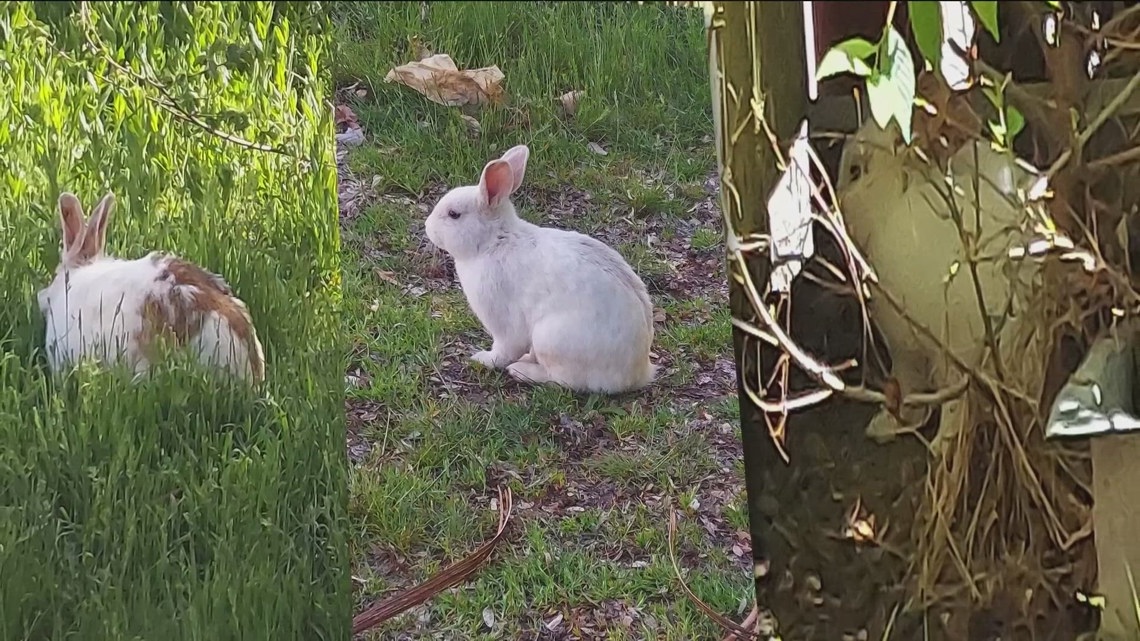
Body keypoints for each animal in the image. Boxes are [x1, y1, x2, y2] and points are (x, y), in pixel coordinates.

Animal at [424, 144, 658, 394]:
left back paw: (521, 371)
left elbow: (504, 349)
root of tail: (637, 374)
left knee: (562, 379)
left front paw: (483, 359)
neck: (493, 241)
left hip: (552, 339)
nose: (427, 226)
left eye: (454, 214)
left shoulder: (504, 323)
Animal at [836, 118, 1042, 449]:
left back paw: (939, 445)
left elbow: (910, 385)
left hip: (958, 345)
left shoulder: (910, 346)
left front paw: (886, 426)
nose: (838, 203)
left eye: (855, 170)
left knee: (957, 398)